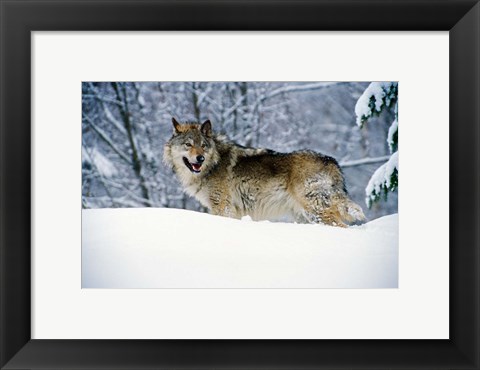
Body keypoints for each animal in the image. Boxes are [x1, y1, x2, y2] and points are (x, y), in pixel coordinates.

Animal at [163, 117, 366, 227]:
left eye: (203, 146)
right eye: (188, 145)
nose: (200, 159)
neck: (213, 164)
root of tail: (332, 161)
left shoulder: (223, 207)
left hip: (315, 211)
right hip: (306, 216)